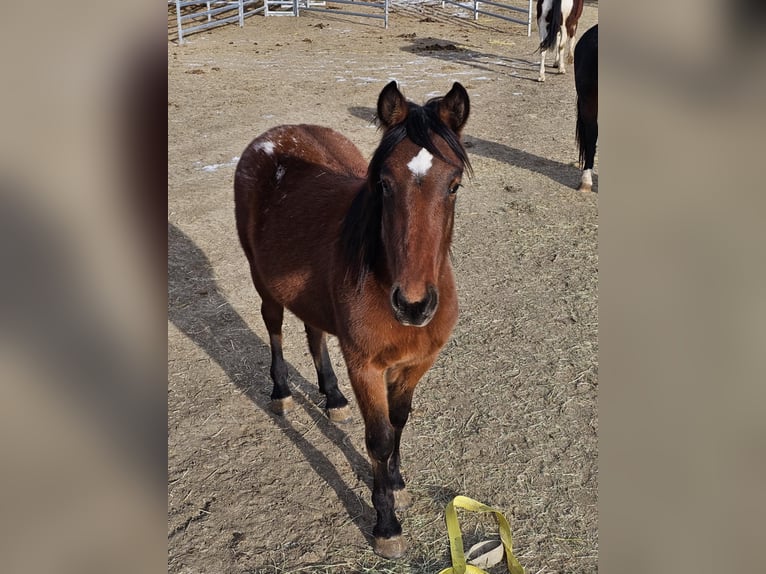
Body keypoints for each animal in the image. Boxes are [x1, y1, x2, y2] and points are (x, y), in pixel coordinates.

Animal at [236, 79, 474, 560]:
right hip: (264, 284)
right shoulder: (365, 365)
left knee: (313, 332)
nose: (414, 305)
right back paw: (282, 392)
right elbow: (379, 438)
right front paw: (386, 524)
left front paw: (397, 483)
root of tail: (273, 136)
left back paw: (333, 399)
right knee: (274, 328)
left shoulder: (415, 364)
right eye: (384, 183)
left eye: (454, 184)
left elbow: (399, 422)